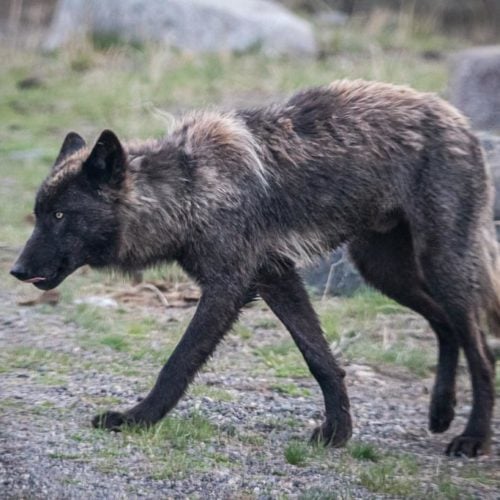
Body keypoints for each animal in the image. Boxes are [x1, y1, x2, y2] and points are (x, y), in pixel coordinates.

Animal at [11, 79, 500, 458]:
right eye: (39, 214)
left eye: (60, 216)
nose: (15, 270)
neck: (190, 189)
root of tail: (458, 118)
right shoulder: (276, 277)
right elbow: (320, 359)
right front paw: (338, 433)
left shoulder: (229, 288)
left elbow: (177, 363)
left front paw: (137, 419)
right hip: (384, 271)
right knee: (447, 326)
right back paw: (441, 412)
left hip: (440, 265)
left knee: (480, 347)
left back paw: (473, 438)